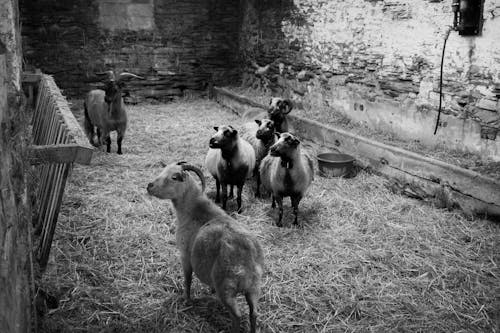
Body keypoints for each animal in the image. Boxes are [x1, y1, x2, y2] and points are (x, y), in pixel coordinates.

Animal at [146, 161, 264, 332]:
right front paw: (209, 290)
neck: (193, 210)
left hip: (226, 288)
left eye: (174, 177)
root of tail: (246, 257)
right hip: (254, 287)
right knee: (254, 314)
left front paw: (187, 300)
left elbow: (187, 279)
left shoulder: (185, 256)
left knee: (237, 315)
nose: (149, 186)